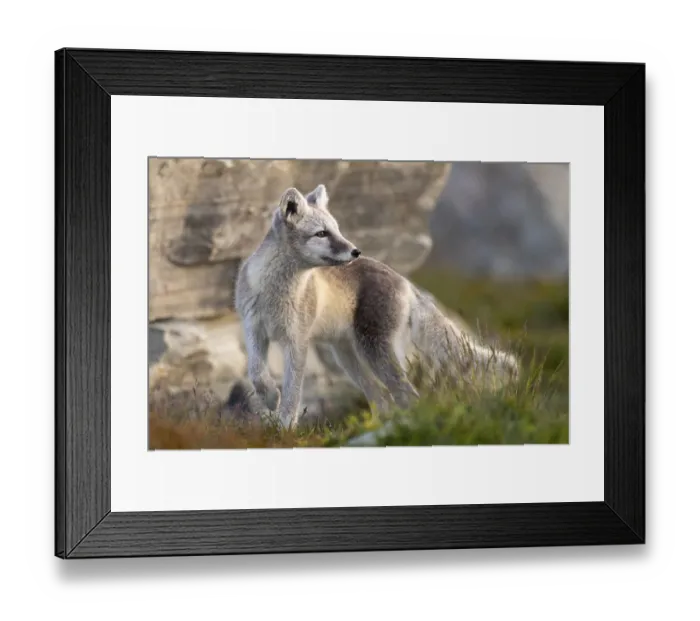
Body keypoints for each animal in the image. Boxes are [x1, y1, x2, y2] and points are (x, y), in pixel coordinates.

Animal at [234, 184, 519, 430]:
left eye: (336, 229)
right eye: (321, 233)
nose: (355, 251)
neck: (273, 292)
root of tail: (404, 281)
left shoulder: (297, 341)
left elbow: (292, 394)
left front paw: (284, 428)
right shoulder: (254, 330)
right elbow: (256, 373)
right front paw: (270, 397)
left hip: (373, 351)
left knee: (406, 394)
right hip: (350, 358)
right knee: (383, 399)